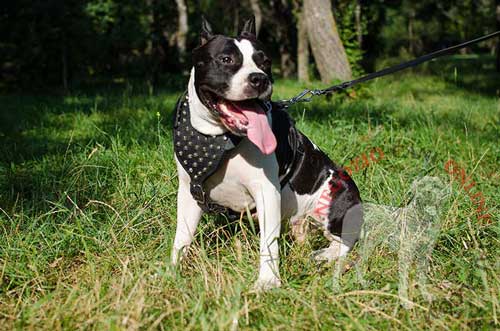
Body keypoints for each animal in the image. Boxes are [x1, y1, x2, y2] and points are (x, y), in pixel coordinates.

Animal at [172, 16, 364, 290]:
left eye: (265, 62)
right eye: (226, 59)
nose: (259, 78)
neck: (220, 138)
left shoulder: (266, 192)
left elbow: (268, 244)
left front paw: (267, 282)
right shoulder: (189, 192)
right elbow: (182, 236)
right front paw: (171, 272)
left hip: (339, 196)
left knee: (345, 241)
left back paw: (326, 255)